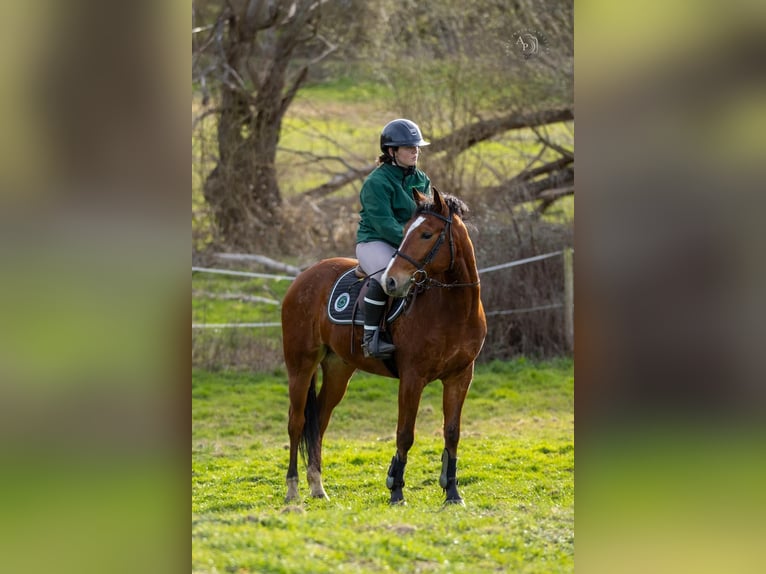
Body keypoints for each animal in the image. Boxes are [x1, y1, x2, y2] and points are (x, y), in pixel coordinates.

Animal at [282, 187, 487, 505]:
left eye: (426, 234)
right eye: (406, 230)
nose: (392, 281)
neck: (454, 309)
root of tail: (303, 277)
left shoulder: (460, 376)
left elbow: (452, 433)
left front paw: (452, 492)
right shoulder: (412, 378)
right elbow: (405, 433)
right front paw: (396, 489)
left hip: (338, 369)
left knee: (320, 421)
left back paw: (317, 486)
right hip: (300, 367)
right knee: (297, 422)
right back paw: (293, 490)